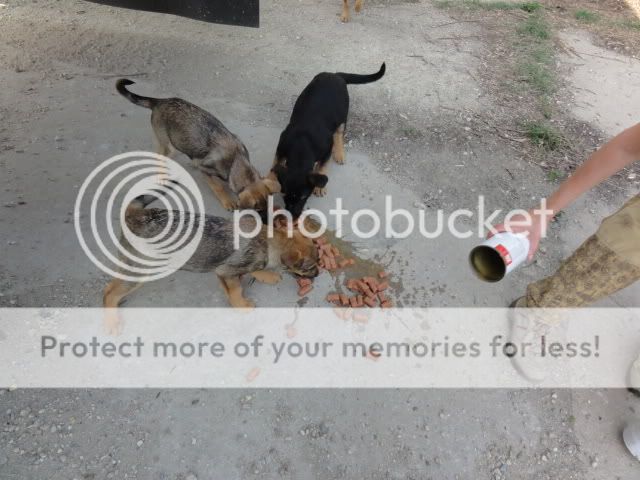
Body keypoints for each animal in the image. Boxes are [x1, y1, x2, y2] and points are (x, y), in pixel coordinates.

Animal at [104, 189, 320, 324]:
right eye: (309, 267)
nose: (318, 274)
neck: (268, 241)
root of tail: (135, 215)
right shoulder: (225, 271)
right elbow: (236, 291)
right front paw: (242, 306)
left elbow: (255, 271)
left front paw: (267, 275)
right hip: (141, 270)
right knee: (110, 294)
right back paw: (112, 322)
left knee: (113, 283)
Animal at [115, 79, 280, 212]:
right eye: (258, 209)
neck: (236, 160)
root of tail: (160, 102)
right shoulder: (206, 170)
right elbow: (218, 187)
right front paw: (227, 201)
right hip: (167, 144)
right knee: (160, 156)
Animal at [270, 62, 384, 218]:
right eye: (284, 195)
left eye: (304, 197)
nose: (293, 216)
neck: (301, 145)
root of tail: (335, 74)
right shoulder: (281, 147)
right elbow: (275, 163)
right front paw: (269, 179)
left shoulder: (326, 151)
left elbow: (322, 167)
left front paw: (319, 187)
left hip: (343, 115)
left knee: (339, 133)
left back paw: (340, 153)